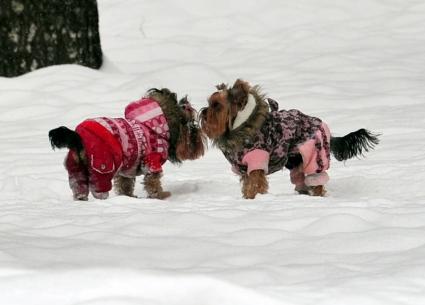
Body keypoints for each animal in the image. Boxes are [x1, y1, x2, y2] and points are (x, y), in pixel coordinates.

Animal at [199, 79, 378, 197]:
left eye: (216, 106)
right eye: (209, 103)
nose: (203, 112)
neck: (241, 128)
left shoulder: (257, 160)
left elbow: (255, 184)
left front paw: (254, 198)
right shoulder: (243, 168)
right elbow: (247, 184)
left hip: (315, 154)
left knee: (317, 180)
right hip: (296, 160)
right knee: (301, 180)